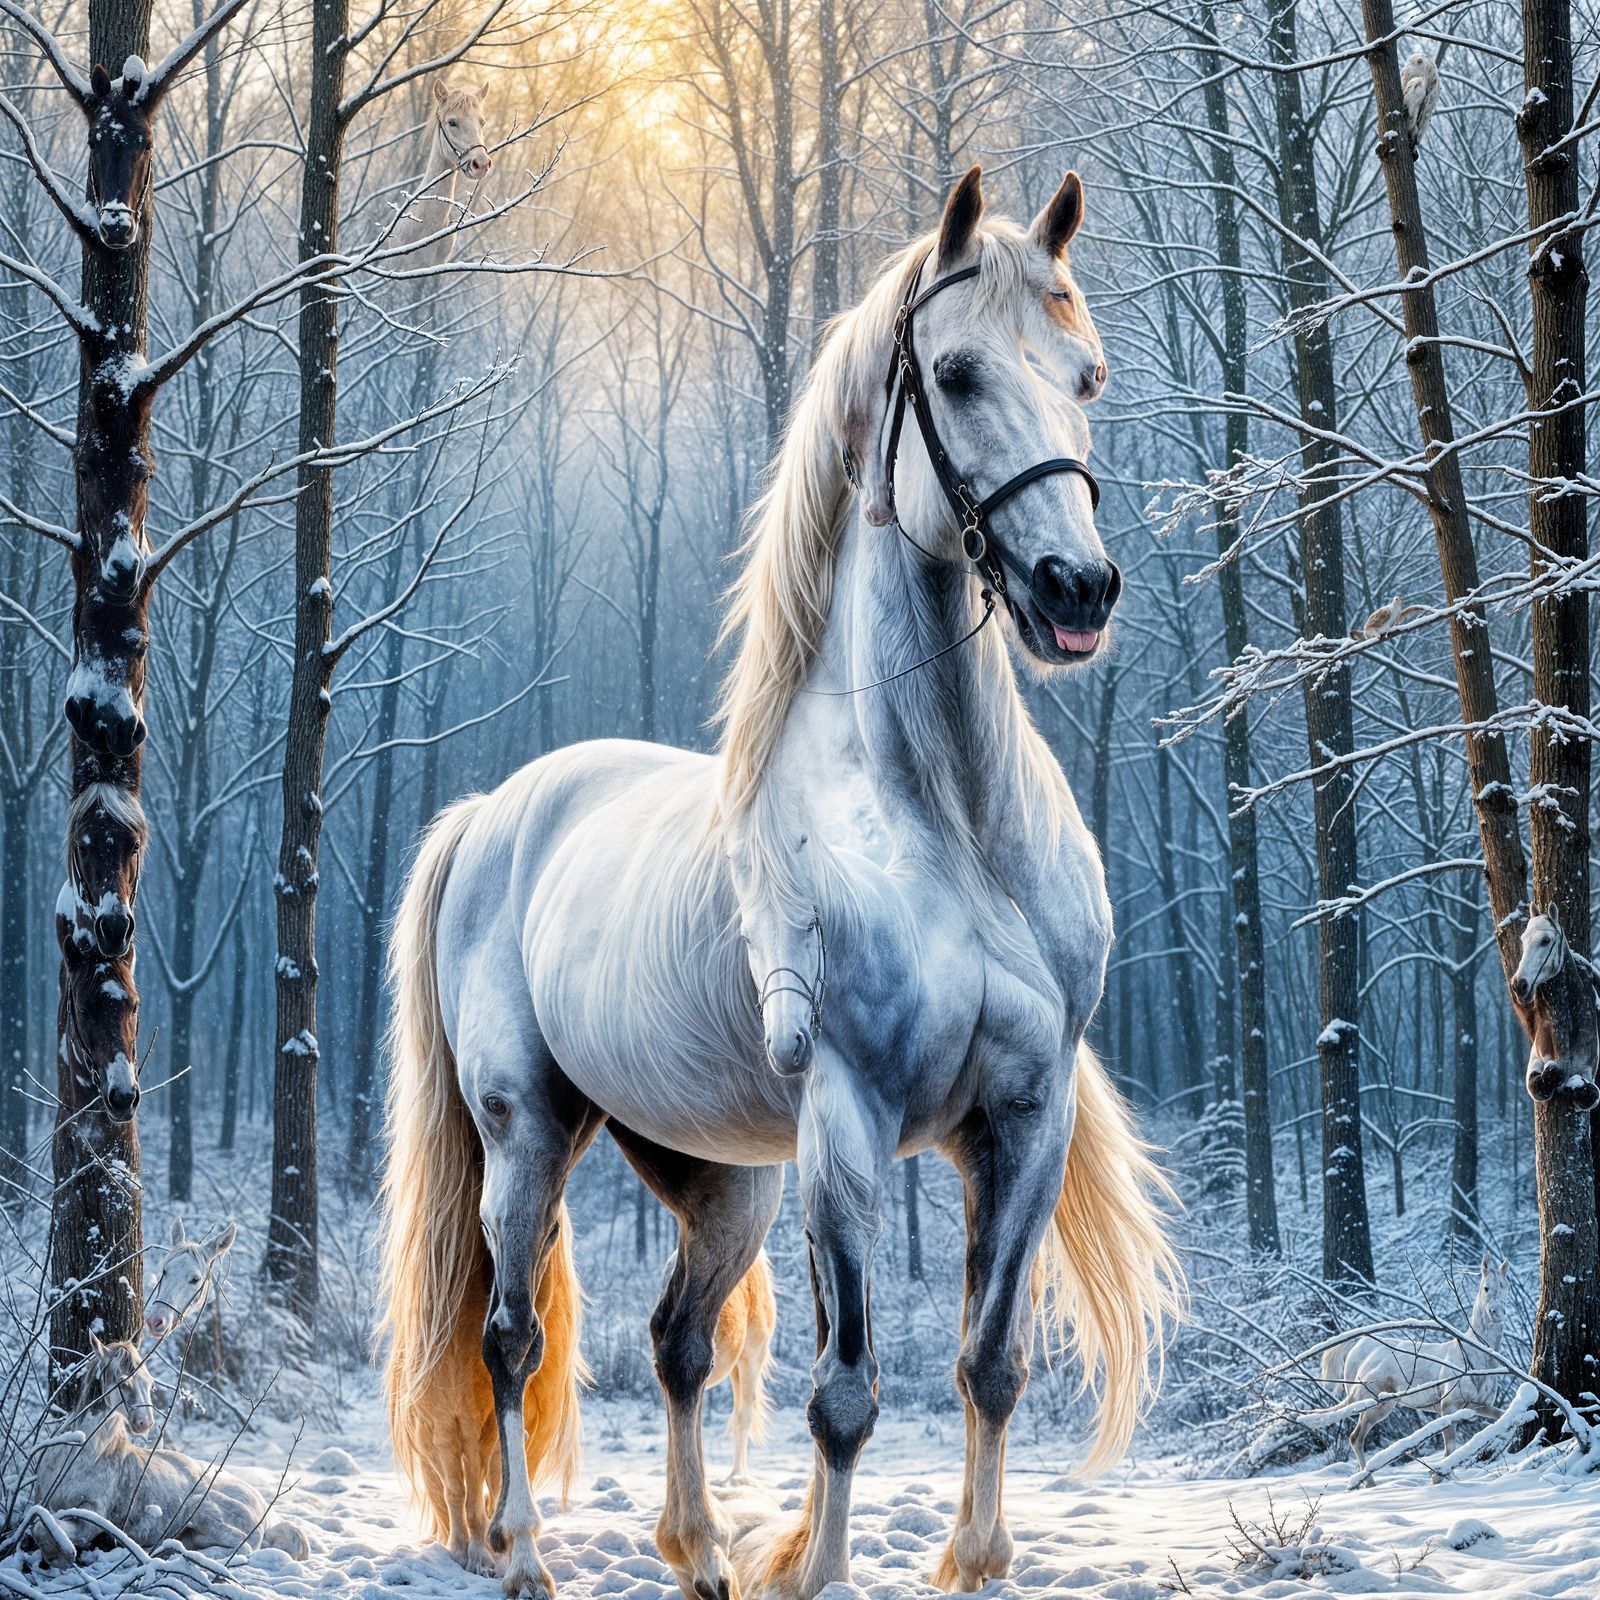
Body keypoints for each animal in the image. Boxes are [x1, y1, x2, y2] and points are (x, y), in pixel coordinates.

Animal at [27, 1334, 308, 1563]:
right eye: (123, 1383)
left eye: (150, 1383)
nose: (145, 1423)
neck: (82, 1457)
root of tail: (264, 1508)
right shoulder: (44, 1503)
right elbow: (40, 1527)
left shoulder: (91, 1517)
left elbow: (45, 1530)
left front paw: (61, 1560)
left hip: (200, 1507)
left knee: (243, 1549)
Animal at [379, 164, 1181, 1600]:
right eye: (959, 373)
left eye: (1083, 375)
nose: (1075, 590)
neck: (948, 828)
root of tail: (492, 815)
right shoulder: (850, 1129)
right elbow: (845, 1393)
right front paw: (822, 1567)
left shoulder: (1021, 1126)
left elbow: (989, 1365)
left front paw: (976, 1560)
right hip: (528, 1134)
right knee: (513, 1339)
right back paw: (521, 1553)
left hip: (726, 1180)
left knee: (676, 1341)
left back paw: (697, 1552)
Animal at [1308, 1253, 1509, 1475]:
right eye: (1486, 1287)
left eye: (1505, 1285)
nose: (1496, 1313)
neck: (1474, 1358)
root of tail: (1358, 1345)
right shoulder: (1448, 1406)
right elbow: (1450, 1449)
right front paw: (1441, 1476)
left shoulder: (1479, 1405)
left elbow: (1503, 1416)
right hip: (1376, 1402)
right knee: (1354, 1436)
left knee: (1355, 1435)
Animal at [1511, 907, 1600, 1108]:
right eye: (1523, 940)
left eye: (1545, 940)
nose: (1519, 985)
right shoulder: (1535, 1061)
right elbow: (1547, 1078)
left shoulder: (1588, 1069)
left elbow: (1590, 1093)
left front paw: (1574, 1086)